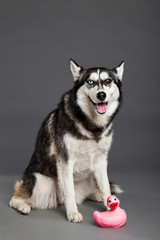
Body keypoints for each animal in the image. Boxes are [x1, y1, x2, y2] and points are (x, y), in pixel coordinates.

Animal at [9, 59, 124, 223]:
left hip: (89, 178)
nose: (101, 95)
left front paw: (110, 205)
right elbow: (69, 192)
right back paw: (22, 206)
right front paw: (73, 213)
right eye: (90, 82)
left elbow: (105, 187)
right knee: (16, 198)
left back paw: (96, 195)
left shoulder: (101, 161)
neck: (92, 126)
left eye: (108, 81)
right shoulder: (65, 161)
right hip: (40, 182)